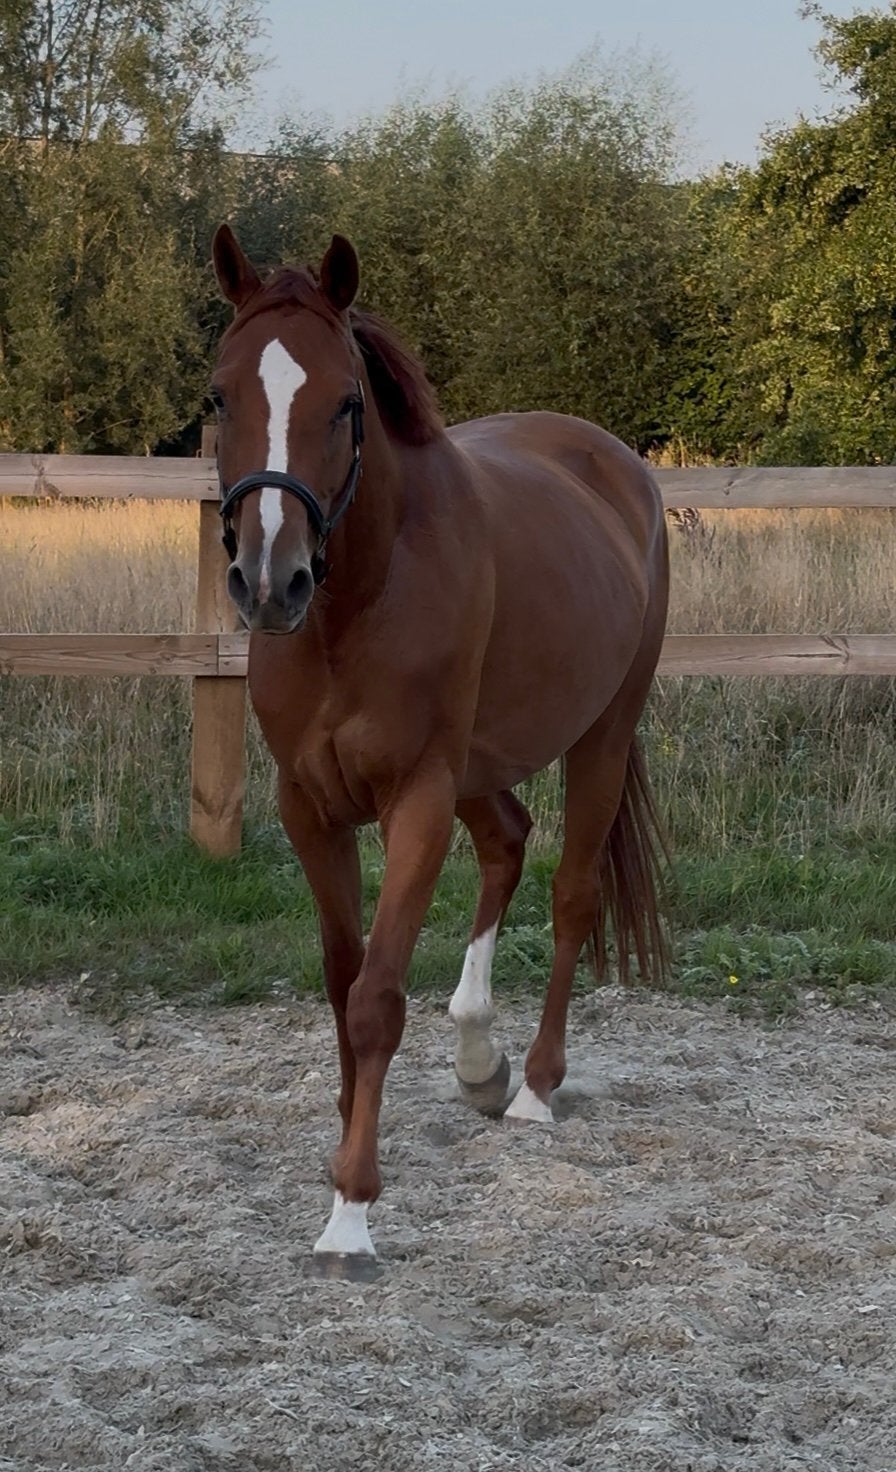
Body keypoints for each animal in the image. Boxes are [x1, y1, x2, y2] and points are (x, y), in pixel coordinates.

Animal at [209, 224, 670, 1274]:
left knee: (572, 892)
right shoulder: (310, 804)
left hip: (601, 734)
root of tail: (616, 465)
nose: (269, 582)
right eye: (219, 397)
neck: (359, 603)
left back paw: (532, 1086)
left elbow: (378, 995)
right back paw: (476, 1058)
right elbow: (340, 979)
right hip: (481, 765)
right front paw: (347, 1132)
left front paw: (351, 1209)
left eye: (346, 403)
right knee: (507, 840)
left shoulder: (415, 797)